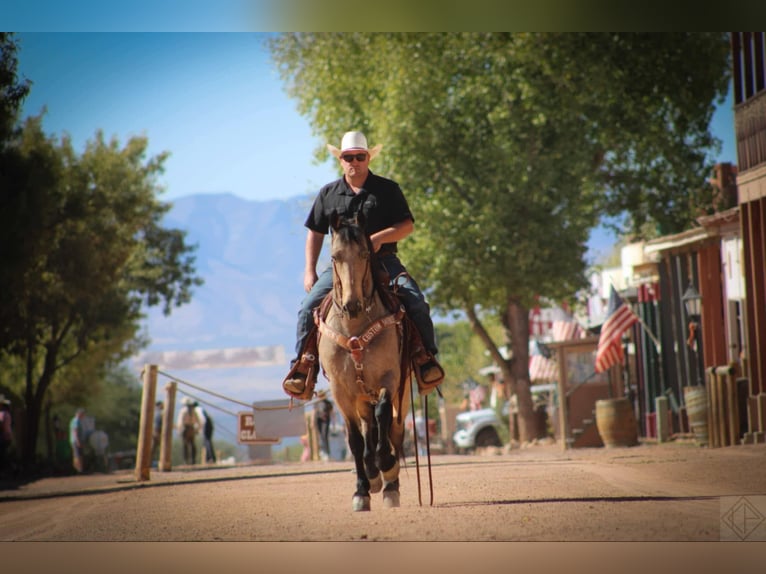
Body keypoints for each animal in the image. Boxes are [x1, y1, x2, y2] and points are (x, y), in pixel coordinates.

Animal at [316, 214, 414, 510]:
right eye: (335, 256)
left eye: (364, 253)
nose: (352, 304)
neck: (354, 329)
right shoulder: (340, 391)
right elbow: (355, 441)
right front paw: (361, 491)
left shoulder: (390, 379)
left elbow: (383, 417)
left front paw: (387, 464)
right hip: (360, 397)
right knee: (368, 428)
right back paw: (373, 476)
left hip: (402, 393)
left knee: (393, 429)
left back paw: (390, 484)